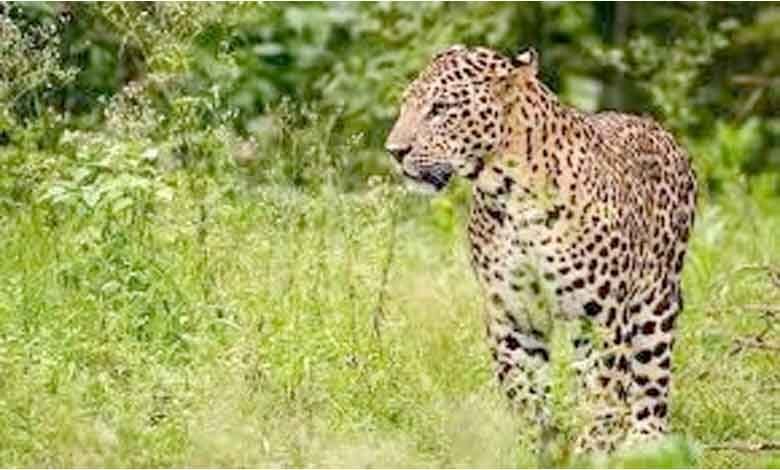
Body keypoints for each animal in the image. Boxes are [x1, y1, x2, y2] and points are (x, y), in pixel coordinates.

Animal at [385, 45, 697, 457]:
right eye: (406, 104)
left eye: (440, 109)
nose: (394, 151)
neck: (509, 196)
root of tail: (657, 128)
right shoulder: (514, 315)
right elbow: (524, 391)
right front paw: (535, 447)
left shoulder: (600, 318)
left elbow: (601, 395)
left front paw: (589, 453)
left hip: (655, 305)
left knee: (651, 385)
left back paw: (645, 445)